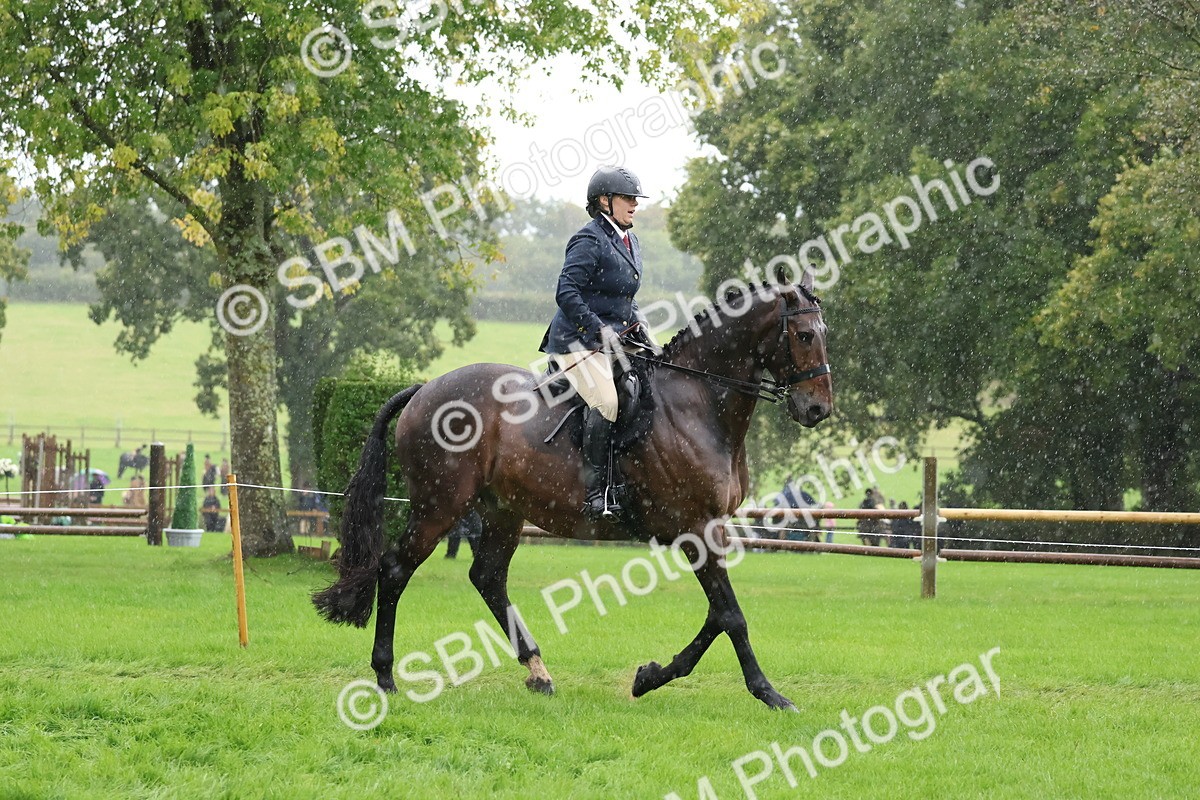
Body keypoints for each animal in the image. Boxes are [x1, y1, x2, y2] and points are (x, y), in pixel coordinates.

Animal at [313, 275, 833, 710]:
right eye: (805, 336)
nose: (817, 410)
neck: (698, 401)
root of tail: (424, 390)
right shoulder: (695, 528)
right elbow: (730, 615)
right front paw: (769, 694)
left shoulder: (709, 530)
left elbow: (718, 615)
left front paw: (649, 677)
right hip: (439, 505)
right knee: (395, 570)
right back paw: (385, 677)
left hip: (502, 510)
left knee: (488, 578)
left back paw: (538, 672)